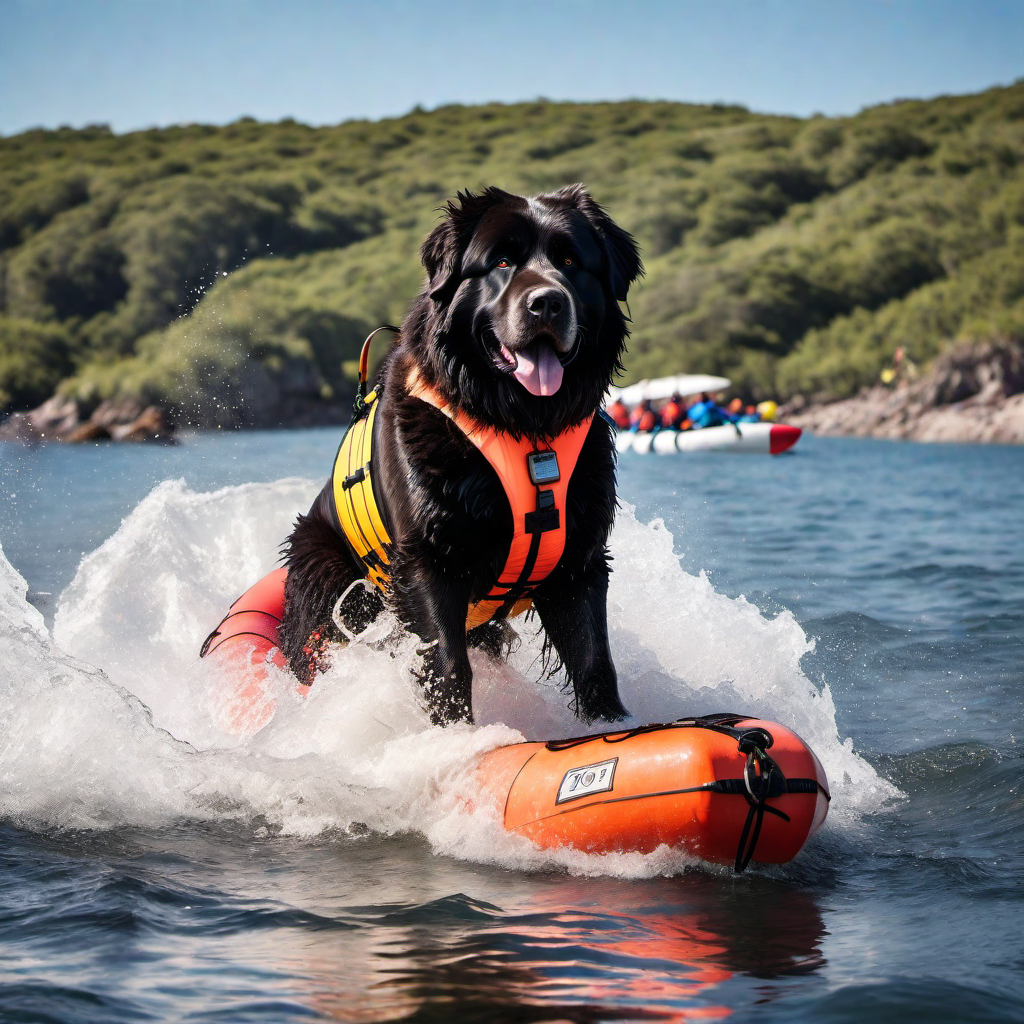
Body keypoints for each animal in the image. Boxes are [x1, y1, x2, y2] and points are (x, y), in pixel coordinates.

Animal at [278, 186, 638, 729]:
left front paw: (615, 726)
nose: (547, 303)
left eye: (571, 262)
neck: (524, 427)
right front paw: (456, 736)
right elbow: (447, 663)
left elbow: (594, 658)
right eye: (503, 262)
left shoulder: (580, 557)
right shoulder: (429, 558)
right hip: (326, 574)